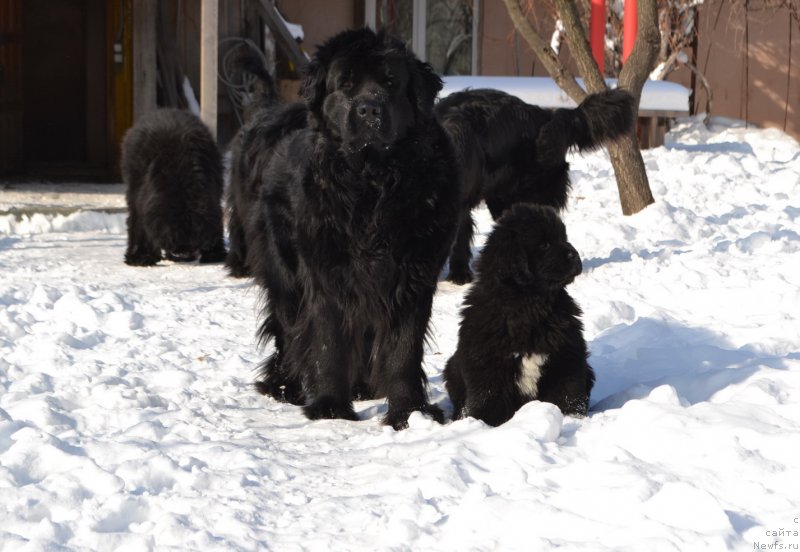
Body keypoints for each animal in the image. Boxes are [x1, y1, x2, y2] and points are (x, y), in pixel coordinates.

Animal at [123, 108, 227, 266]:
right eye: (175, 237)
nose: (182, 254)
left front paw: (214, 254)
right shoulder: (139, 197)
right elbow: (138, 224)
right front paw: (140, 257)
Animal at [238, 28, 460, 430]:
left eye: (390, 82)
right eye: (346, 84)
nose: (369, 109)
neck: (373, 183)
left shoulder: (412, 277)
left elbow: (403, 349)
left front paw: (409, 413)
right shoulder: (327, 273)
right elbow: (329, 342)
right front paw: (330, 408)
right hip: (286, 274)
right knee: (288, 329)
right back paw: (286, 386)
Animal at [444, 205, 592, 424]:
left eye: (563, 238)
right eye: (544, 244)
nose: (573, 254)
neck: (530, 305)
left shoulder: (567, 357)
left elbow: (567, 394)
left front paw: (571, 418)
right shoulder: (486, 367)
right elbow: (488, 400)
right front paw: (483, 425)